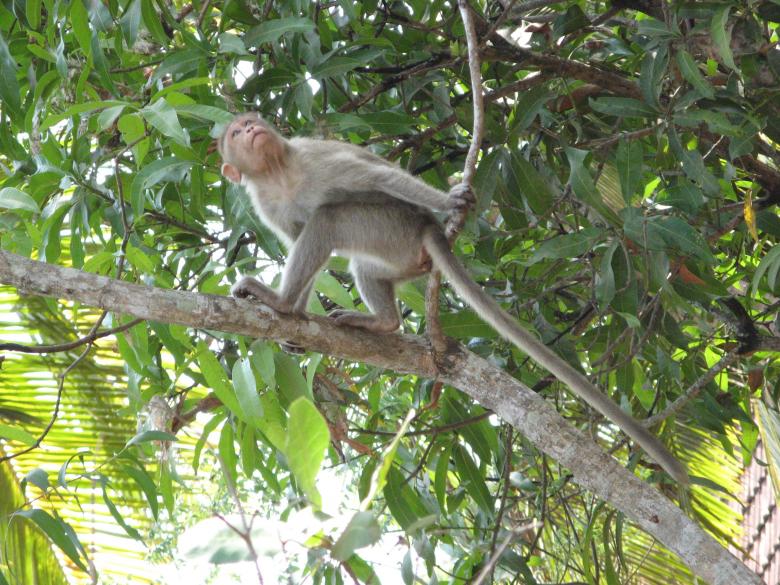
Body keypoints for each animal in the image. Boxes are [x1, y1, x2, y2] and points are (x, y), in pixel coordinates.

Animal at [217, 112, 688, 484]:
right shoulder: (266, 203)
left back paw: (285, 301)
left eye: (250, 122)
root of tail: (425, 230)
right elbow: (295, 238)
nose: (252, 128)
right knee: (357, 259)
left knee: (330, 219)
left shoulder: (312, 159)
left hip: (388, 226)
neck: (279, 172)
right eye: (238, 131)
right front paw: (296, 314)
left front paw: (449, 199)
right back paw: (378, 321)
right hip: (395, 250)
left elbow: (375, 175)